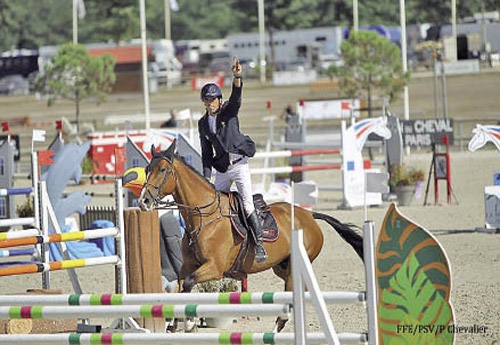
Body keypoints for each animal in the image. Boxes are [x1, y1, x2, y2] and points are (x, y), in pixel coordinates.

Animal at [139, 139, 366, 330]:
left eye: (162, 170)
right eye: (147, 170)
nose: (144, 202)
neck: (204, 217)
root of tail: (309, 215)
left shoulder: (214, 267)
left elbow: (187, 283)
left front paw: (189, 322)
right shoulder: (187, 265)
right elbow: (179, 287)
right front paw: (174, 324)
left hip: (294, 266)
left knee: (288, 305)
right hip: (281, 267)